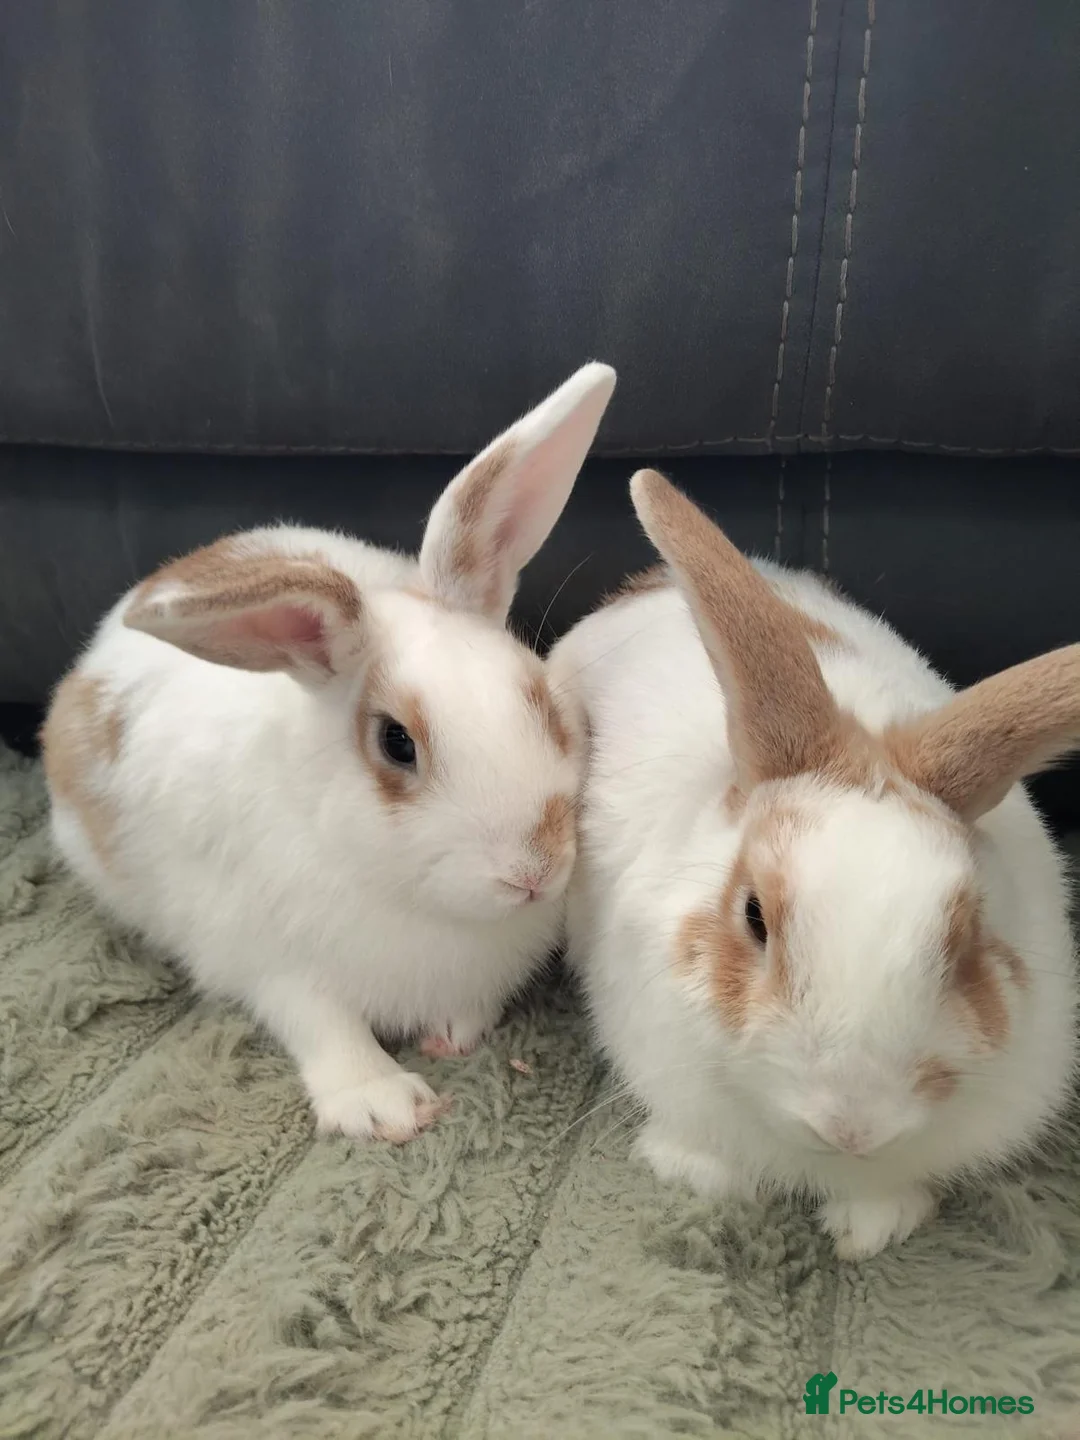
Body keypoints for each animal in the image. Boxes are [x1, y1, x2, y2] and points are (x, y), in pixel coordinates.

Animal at [41, 362, 615, 1143]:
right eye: (396, 744)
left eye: (541, 699)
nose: (535, 870)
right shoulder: (269, 961)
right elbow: (323, 1024)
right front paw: (383, 1104)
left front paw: (452, 1036)